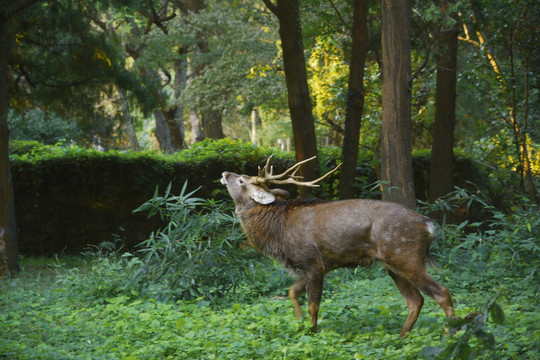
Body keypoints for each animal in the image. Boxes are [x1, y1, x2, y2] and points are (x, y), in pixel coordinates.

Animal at [221, 156, 458, 336]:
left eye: (241, 180)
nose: (224, 173)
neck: (277, 229)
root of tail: (428, 225)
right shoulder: (308, 265)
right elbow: (292, 292)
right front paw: (299, 324)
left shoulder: (312, 262)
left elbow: (313, 304)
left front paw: (312, 333)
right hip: (393, 264)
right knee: (415, 300)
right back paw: (401, 336)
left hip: (406, 256)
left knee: (441, 292)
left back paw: (452, 332)